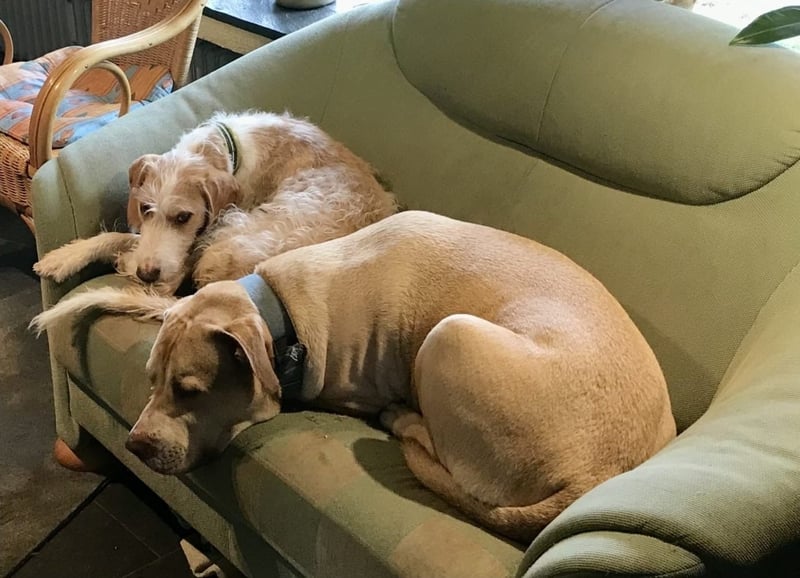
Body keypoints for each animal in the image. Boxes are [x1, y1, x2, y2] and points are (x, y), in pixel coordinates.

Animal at [30, 211, 676, 542]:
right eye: (150, 378)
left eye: (190, 390)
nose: (135, 445)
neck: (283, 314)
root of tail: (594, 477)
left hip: (450, 335)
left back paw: (403, 418)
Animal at [33, 110, 397, 294]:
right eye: (145, 209)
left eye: (184, 217)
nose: (147, 274)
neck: (223, 149)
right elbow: (121, 237)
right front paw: (63, 257)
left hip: (228, 236)